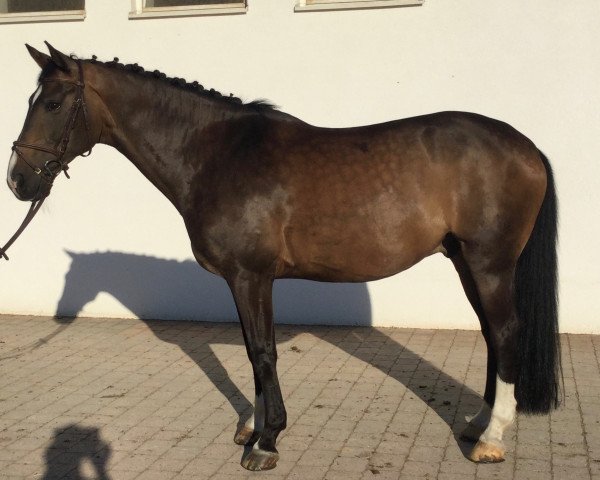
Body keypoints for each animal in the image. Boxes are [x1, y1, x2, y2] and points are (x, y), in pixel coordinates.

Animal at [4, 43, 560, 470]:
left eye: (52, 103)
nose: (18, 180)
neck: (217, 154)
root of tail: (526, 146)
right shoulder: (244, 280)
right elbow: (254, 352)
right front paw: (253, 426)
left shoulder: (251, 276)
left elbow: (261, 351)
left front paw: (266, 441)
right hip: (465, 262)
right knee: (490, 334)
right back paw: (477, 423)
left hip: (489, 264)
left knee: (505, 331)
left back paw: (491, 438)